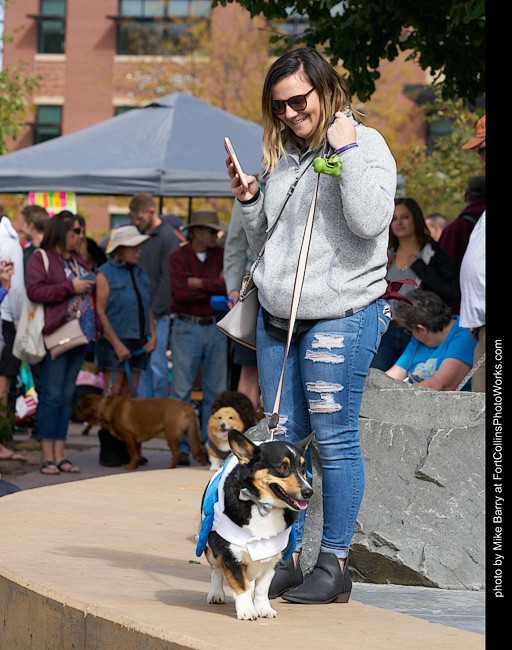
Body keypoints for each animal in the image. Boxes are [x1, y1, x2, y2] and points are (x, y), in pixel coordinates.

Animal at [73, 394, 207, 470]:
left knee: (177, 453)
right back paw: (203, 465)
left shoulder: (129, 438)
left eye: (77, 407)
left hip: (171, 435)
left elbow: (132, 454)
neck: (105, 406)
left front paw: (130, 466)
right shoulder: (137, 441)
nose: (71, 416)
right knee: (200, 450)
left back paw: (170, 468)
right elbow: (137, 454)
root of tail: (189, 408)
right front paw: (136, 465)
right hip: (193, 434)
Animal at [196, 429, 314, 620]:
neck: (263, 506)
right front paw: (246, 610)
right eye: (282, 467)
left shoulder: (271, 560)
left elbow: (261, 589)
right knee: (216, 568)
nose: (309, 492)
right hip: (209, 546)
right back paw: (216, 593)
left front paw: (263, 609)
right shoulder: (231, 555)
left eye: (303, 469)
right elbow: (241, 585)